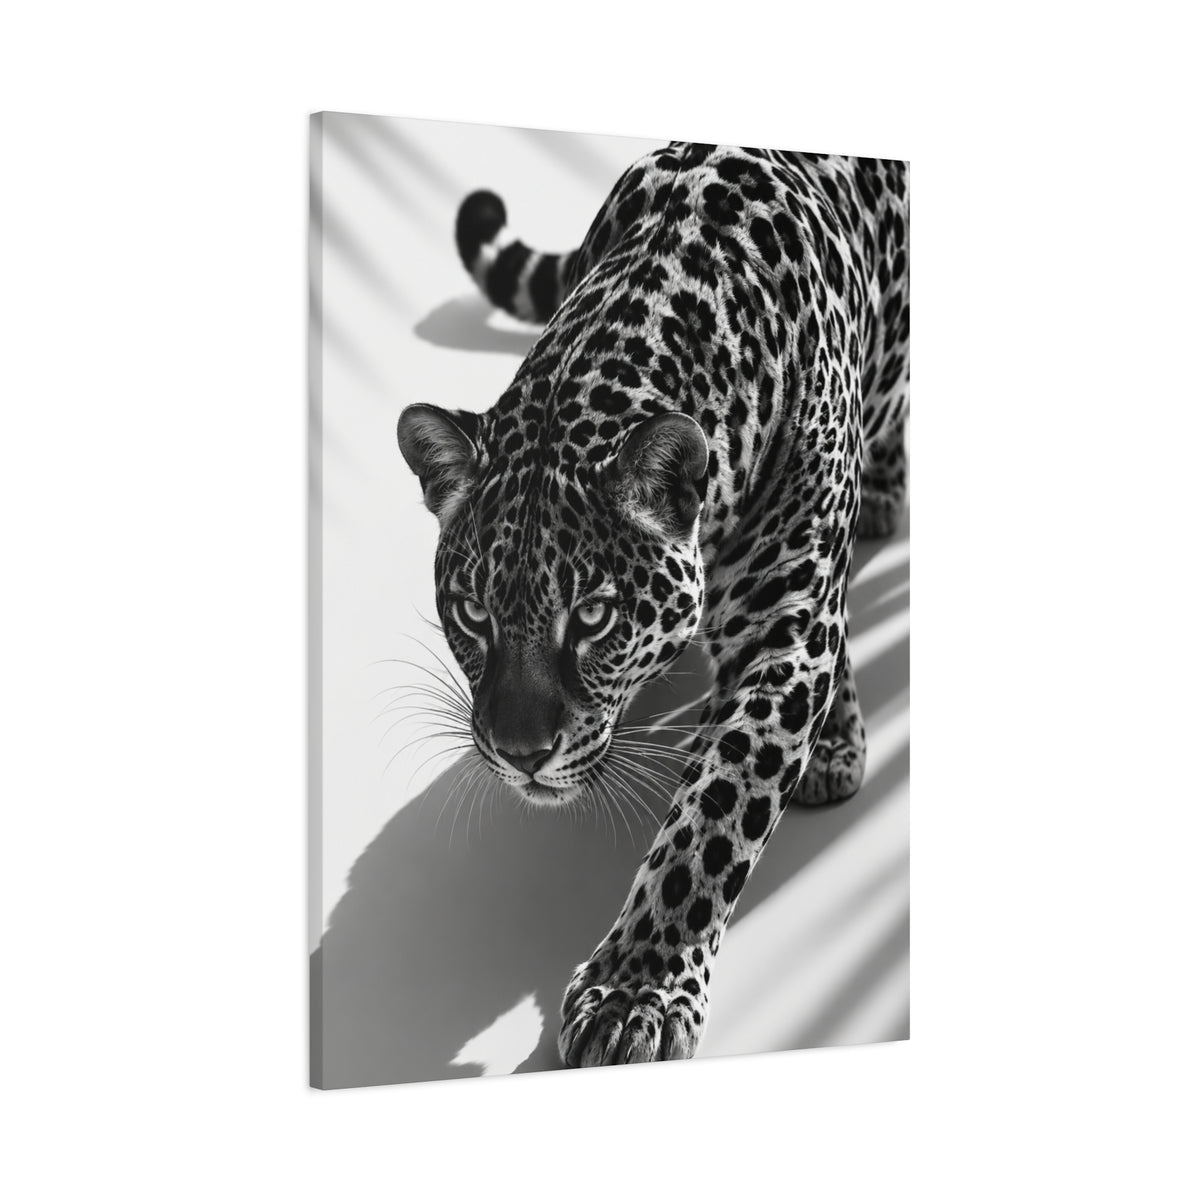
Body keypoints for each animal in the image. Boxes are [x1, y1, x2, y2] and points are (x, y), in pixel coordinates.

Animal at [396, 141, 909, 1068]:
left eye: (594, 617)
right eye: (474, 616)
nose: (520, 755)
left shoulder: (783, 628)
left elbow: (716, 813)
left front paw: (636, 990)